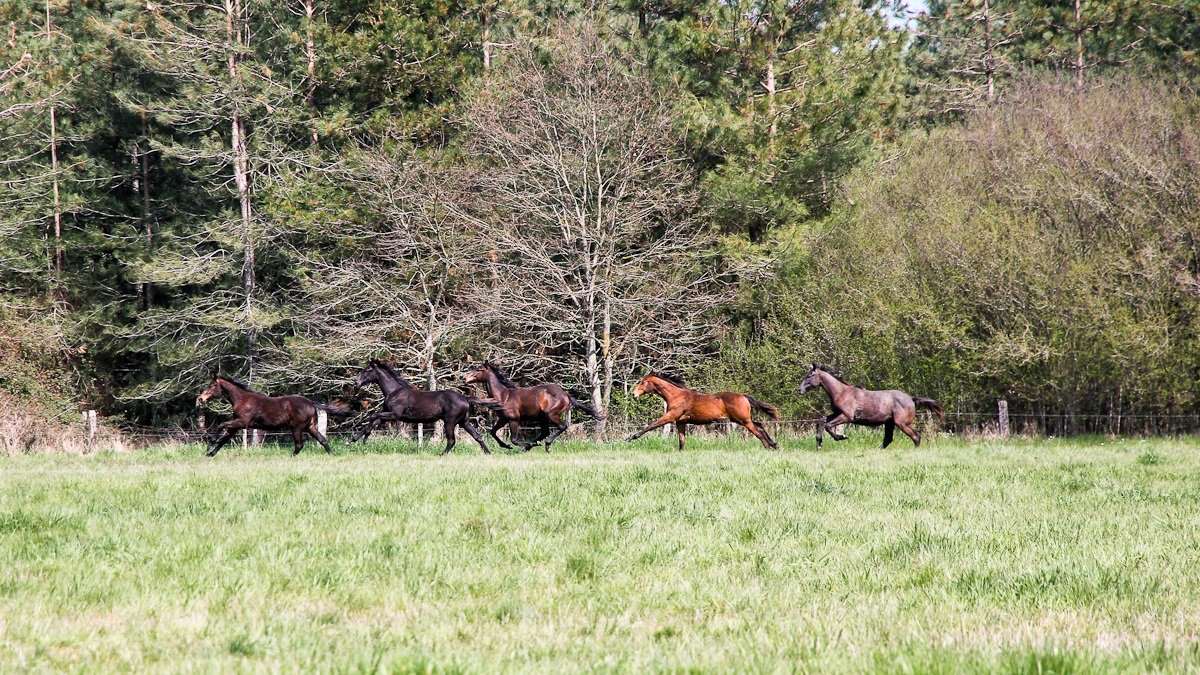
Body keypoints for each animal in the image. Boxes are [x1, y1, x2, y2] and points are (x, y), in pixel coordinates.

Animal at [194, 372, 350, 457]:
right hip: (310, 427)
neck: (242, 399)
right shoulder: (236, 425)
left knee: (299, 444)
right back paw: (331, 455)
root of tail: (311, 403)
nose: (200, 399)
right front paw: (209, 454)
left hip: (297, 428)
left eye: (212, 385)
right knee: (323, 440)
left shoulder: (243, 422)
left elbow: (220, 426)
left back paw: (289, 458)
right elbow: (224, 439)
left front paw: (210, 444)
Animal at [348, 360, 490, 455]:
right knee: (477, 436)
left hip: (450, 422)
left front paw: (364, 439)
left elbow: (373, 416)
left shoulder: (395, 415)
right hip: (464, 422)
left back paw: (442, 454)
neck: (394, 392)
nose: (356, 383)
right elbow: (374, 421)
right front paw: (353, 440)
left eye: (367, 370)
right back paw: (488, 453)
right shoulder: (387, 414)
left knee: (451, 440)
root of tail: (465, 398)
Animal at [463, 361, 604, 452]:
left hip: (551, 415)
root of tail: (566, 395)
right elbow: (492, 432)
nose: (465, 378)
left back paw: (544, 445)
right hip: (543, 418)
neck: (503, 396)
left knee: (562, 426)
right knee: (545, 432)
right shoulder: (503, 419)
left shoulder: (514, 419)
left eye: (479, 369)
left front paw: (523, 444)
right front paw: (506, 446)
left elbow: (514, 439)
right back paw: (530, 446)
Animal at [623, 372, 780, 451]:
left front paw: (630, 438)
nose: (634, 395)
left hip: (743, 420)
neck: (676, 396)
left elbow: (651, 425)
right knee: (759, 425)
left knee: (757, 431)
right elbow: (681, 440)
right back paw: (774, 444)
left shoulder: (670, 417)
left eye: (643, 382)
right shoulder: (680, 422)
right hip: (740, 420)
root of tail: (743, 396)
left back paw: (769, 447)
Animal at [797, 364, 944, 449]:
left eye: (809, 375)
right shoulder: (837, 413)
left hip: (901, 423)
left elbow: (828, 426)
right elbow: (821, 421)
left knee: (916, 436)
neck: (842, 392)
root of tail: (911, 399)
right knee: (888, 439)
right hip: (890, 423)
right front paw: (819, 444)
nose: (799, 390)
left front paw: (841, 437)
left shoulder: (847, 416)